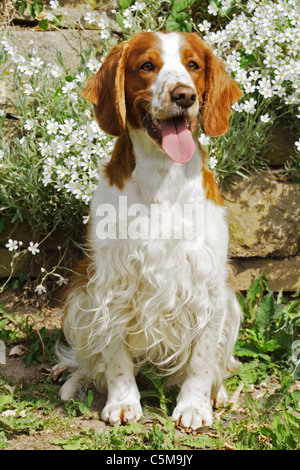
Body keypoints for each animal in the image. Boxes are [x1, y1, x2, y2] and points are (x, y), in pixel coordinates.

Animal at [56, 31, 244, 432]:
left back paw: (217, 393)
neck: (162, 177)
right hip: (78, 300)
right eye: (146, 65)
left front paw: (194, 406)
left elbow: (203, 358)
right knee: (88, 359)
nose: (184, 95)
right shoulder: (111, 282)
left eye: (193, 65)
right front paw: (123, 402)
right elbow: (114, 355)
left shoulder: (209, 285)